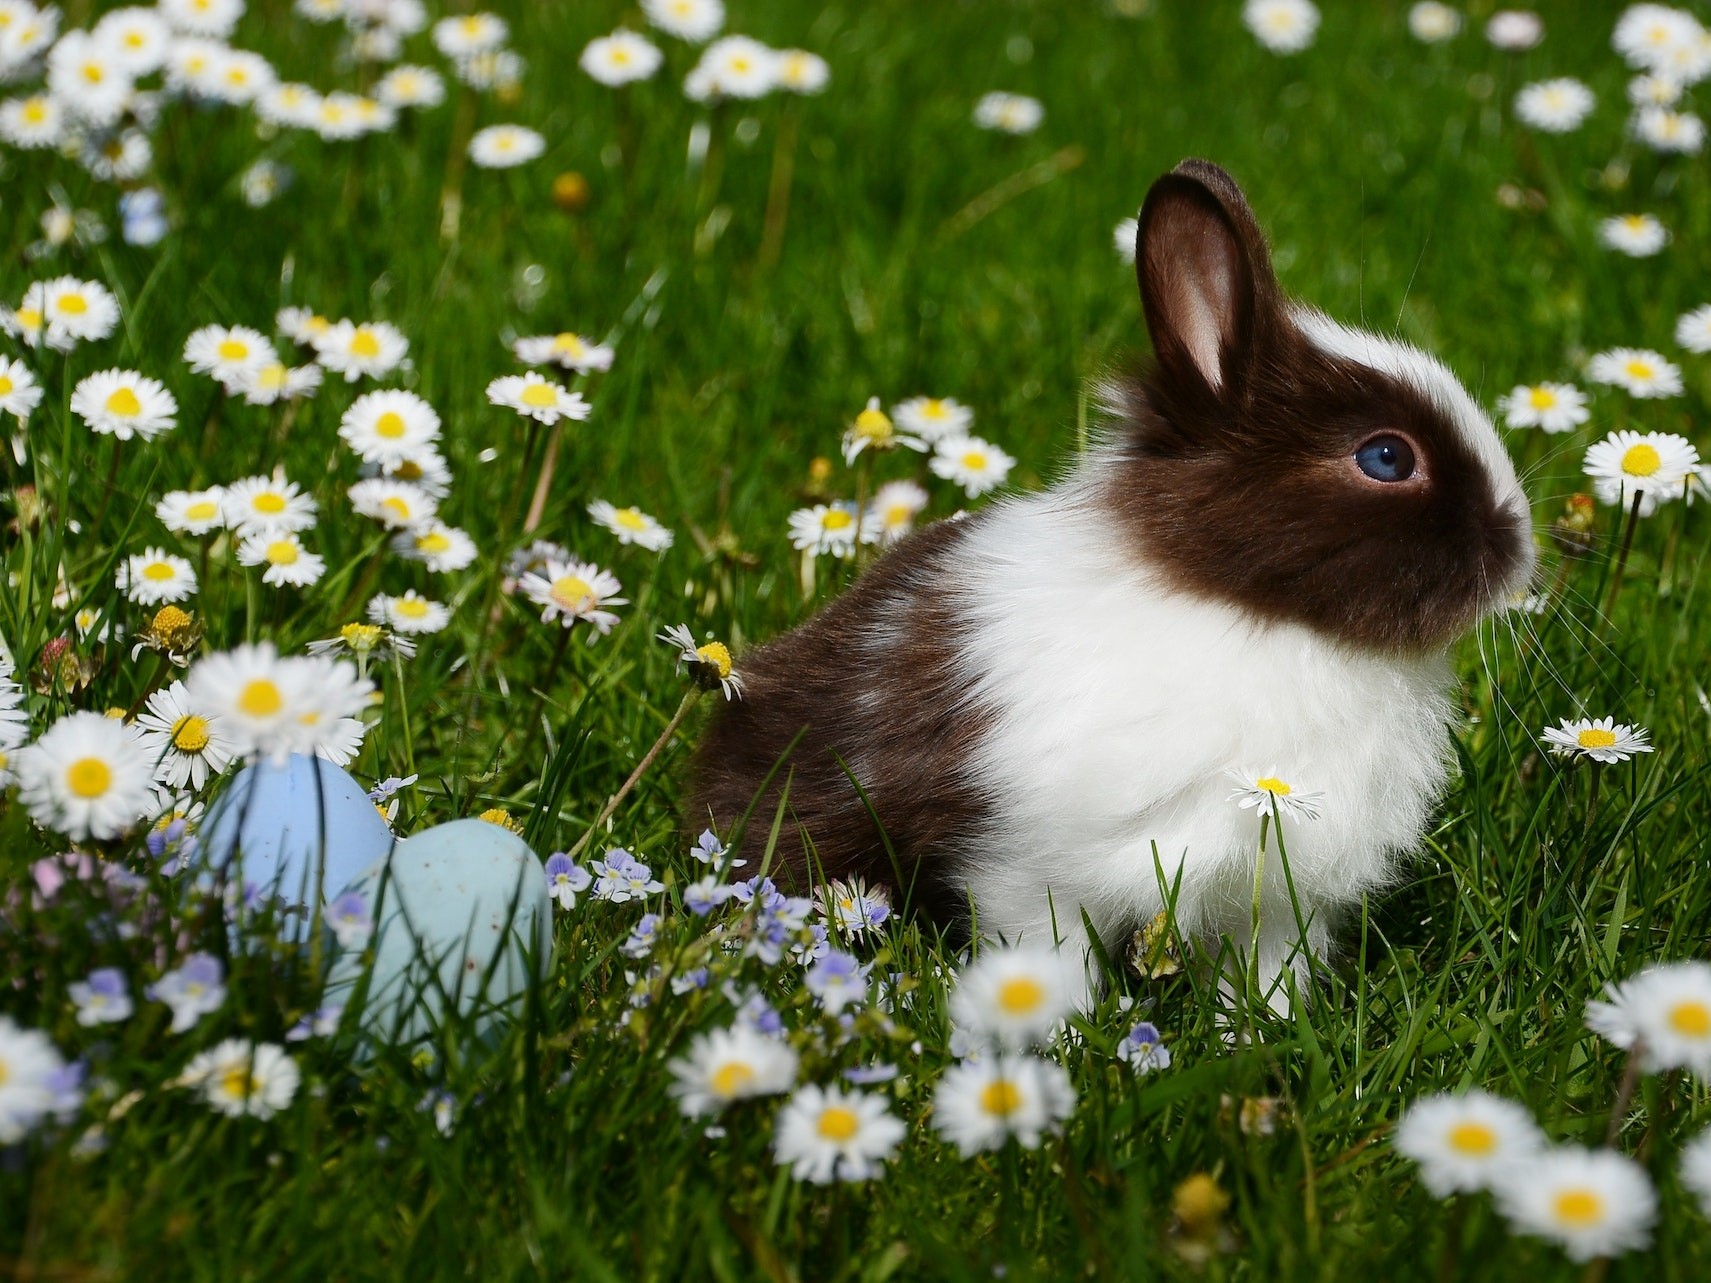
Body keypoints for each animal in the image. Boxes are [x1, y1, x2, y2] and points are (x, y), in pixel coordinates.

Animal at [691, 155, 1539, 1012]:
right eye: (1386, 458)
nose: (1520, 546)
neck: (1252, 613)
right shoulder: (1031, 869)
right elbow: (1047, 959)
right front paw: (1057, 1030)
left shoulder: (1275, 895)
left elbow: (1267, 971)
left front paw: (1257, 1027)